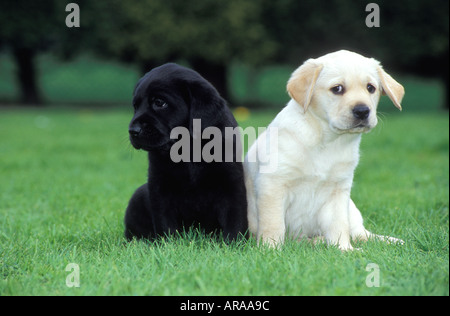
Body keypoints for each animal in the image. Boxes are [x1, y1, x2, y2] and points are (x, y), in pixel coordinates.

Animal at [125, 63, 248, 242]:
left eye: (159, 103)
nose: (133, 131)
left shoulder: (231, 182)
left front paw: (234, 242)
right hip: (138, 195)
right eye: (135, 106)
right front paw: (168, 244)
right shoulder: (159, 185)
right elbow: (164, 220)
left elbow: (235, 217)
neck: (188, 149)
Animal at [244, 50, 406, 249]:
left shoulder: (338, 191)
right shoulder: (272, 184)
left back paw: (390, 241)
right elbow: (273, 225)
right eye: (337, 89)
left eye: (371, 88)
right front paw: (270, 249)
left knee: (361, 233)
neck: (328, 140)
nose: (362, 111)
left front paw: (345, 250)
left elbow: (339, 225)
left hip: (351, 207)